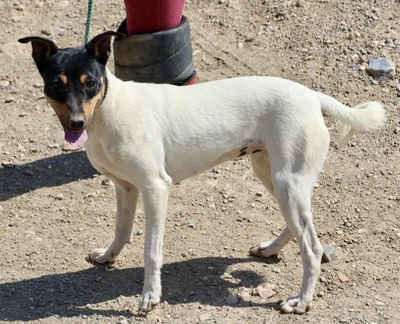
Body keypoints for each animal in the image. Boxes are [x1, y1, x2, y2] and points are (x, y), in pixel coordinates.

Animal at [18, 31, 384, 314]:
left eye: (90, 83)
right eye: (56, 84)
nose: (75, 124)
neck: (109, 109)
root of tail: (312, 96)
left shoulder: (155, 187)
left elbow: (151, 251)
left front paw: (150, 297)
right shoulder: (125, 188)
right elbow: (121, 231)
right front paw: (108, 257)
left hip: (287, 183)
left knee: (312, 248)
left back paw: (301, 301)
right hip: (274, 175)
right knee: (300, 229)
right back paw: (270, 249)